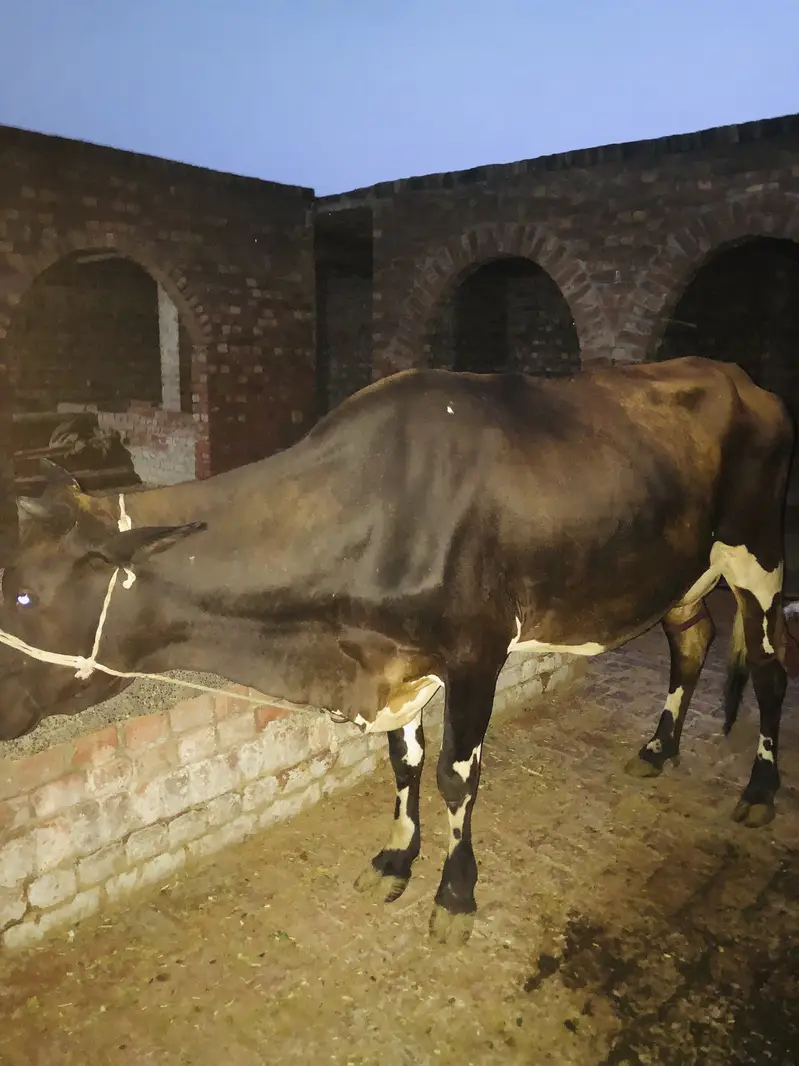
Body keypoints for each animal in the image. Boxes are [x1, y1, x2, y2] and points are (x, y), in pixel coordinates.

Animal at [0, 355, 792, 945]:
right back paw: (658, 748)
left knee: (771, 670)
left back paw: (758, 790)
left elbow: (455, 776)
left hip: (758, 555)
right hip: (677, 568)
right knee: (691, 639)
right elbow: (404, 762)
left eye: (25, 599)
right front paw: (395, 859)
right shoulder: (391, 660)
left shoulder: (476, 654)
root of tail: (741, 378)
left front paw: (455, 894)